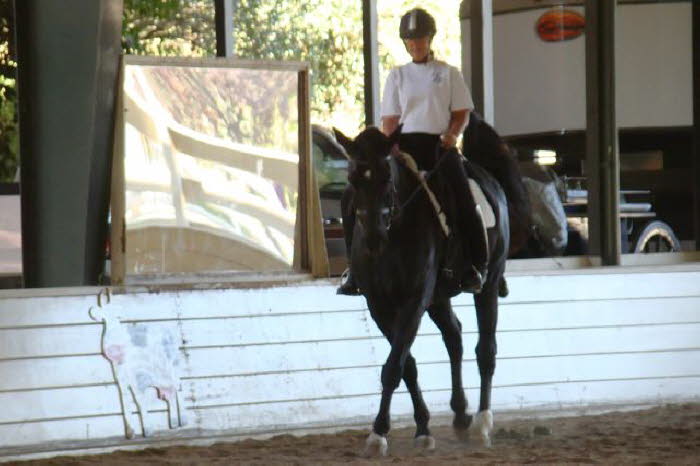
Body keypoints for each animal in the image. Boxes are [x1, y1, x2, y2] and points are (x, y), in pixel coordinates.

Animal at [334, 124, 516, 456]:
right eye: (353, 179)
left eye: (386, 177)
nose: (373, 239)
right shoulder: (379, 305)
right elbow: (406, 365)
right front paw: (421, 428)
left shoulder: (414, 299)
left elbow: (394, 367)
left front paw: (379, 434)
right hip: (438, 298)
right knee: (454, 337)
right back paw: (460, 414)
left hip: (488, 284)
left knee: (485, 350)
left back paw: (482, 423)